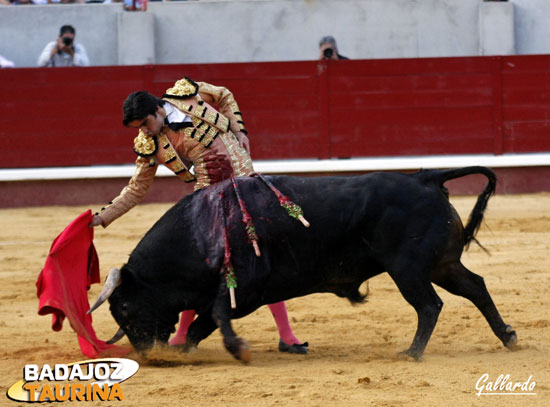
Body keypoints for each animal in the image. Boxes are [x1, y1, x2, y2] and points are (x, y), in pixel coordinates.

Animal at [94, 167, 516, 362]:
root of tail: (426, 177)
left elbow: (212, 316)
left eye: (125, 307)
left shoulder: (245, 290)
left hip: (409, 270)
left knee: (429, 305)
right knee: (476, 286)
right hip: (441, 265)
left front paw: (233, 349)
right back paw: (508, 335)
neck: (200, 230)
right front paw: (185, 351)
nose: (147, 354)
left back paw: (411, 353)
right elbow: (204, 319)